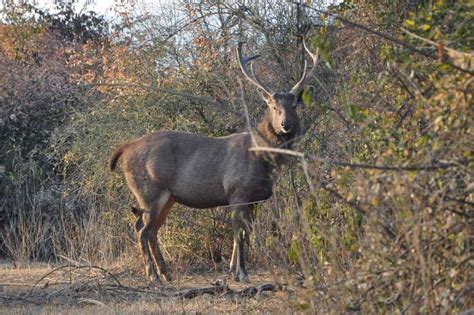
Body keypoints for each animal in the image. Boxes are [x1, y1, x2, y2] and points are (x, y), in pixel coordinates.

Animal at [108, 39, 318, 284]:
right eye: (274, 107)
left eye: (294, 106)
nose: (286, 125)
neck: (262, 161)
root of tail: (126, 148)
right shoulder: (237, 190)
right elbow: (239, 233)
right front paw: (242, 273)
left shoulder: (254, 199)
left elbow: (245, 232)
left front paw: (233, 270)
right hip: (149, 190)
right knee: (141, 229)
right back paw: (154, 276)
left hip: (167, 197)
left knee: (150, 229)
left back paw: (166, 273)